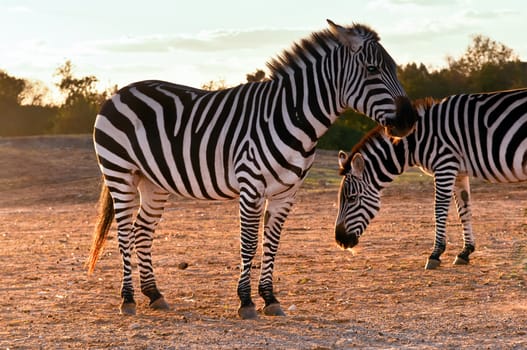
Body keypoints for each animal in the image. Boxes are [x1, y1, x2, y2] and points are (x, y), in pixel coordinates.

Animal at [85, 19, 416, 320]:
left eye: (395, 69)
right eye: (372, 70)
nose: (410, 121)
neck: (293, 117)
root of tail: (119, 93)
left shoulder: (286, 194)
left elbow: (272, 245)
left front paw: (270, 298)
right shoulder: (251, 187)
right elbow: (249, 243)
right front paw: (245, 302)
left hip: (153, 183)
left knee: (142, 230)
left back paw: (154, 294)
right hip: (120, 174)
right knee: (124, 232)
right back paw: (128, 299)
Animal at [334, 88, 527, 270]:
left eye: (352, 198)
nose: (339, 241)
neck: (417, 140)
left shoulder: (445, 164)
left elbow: (439, 209)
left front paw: (435, 254)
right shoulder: (459, 171)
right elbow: (464, 210)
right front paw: (465, 252)